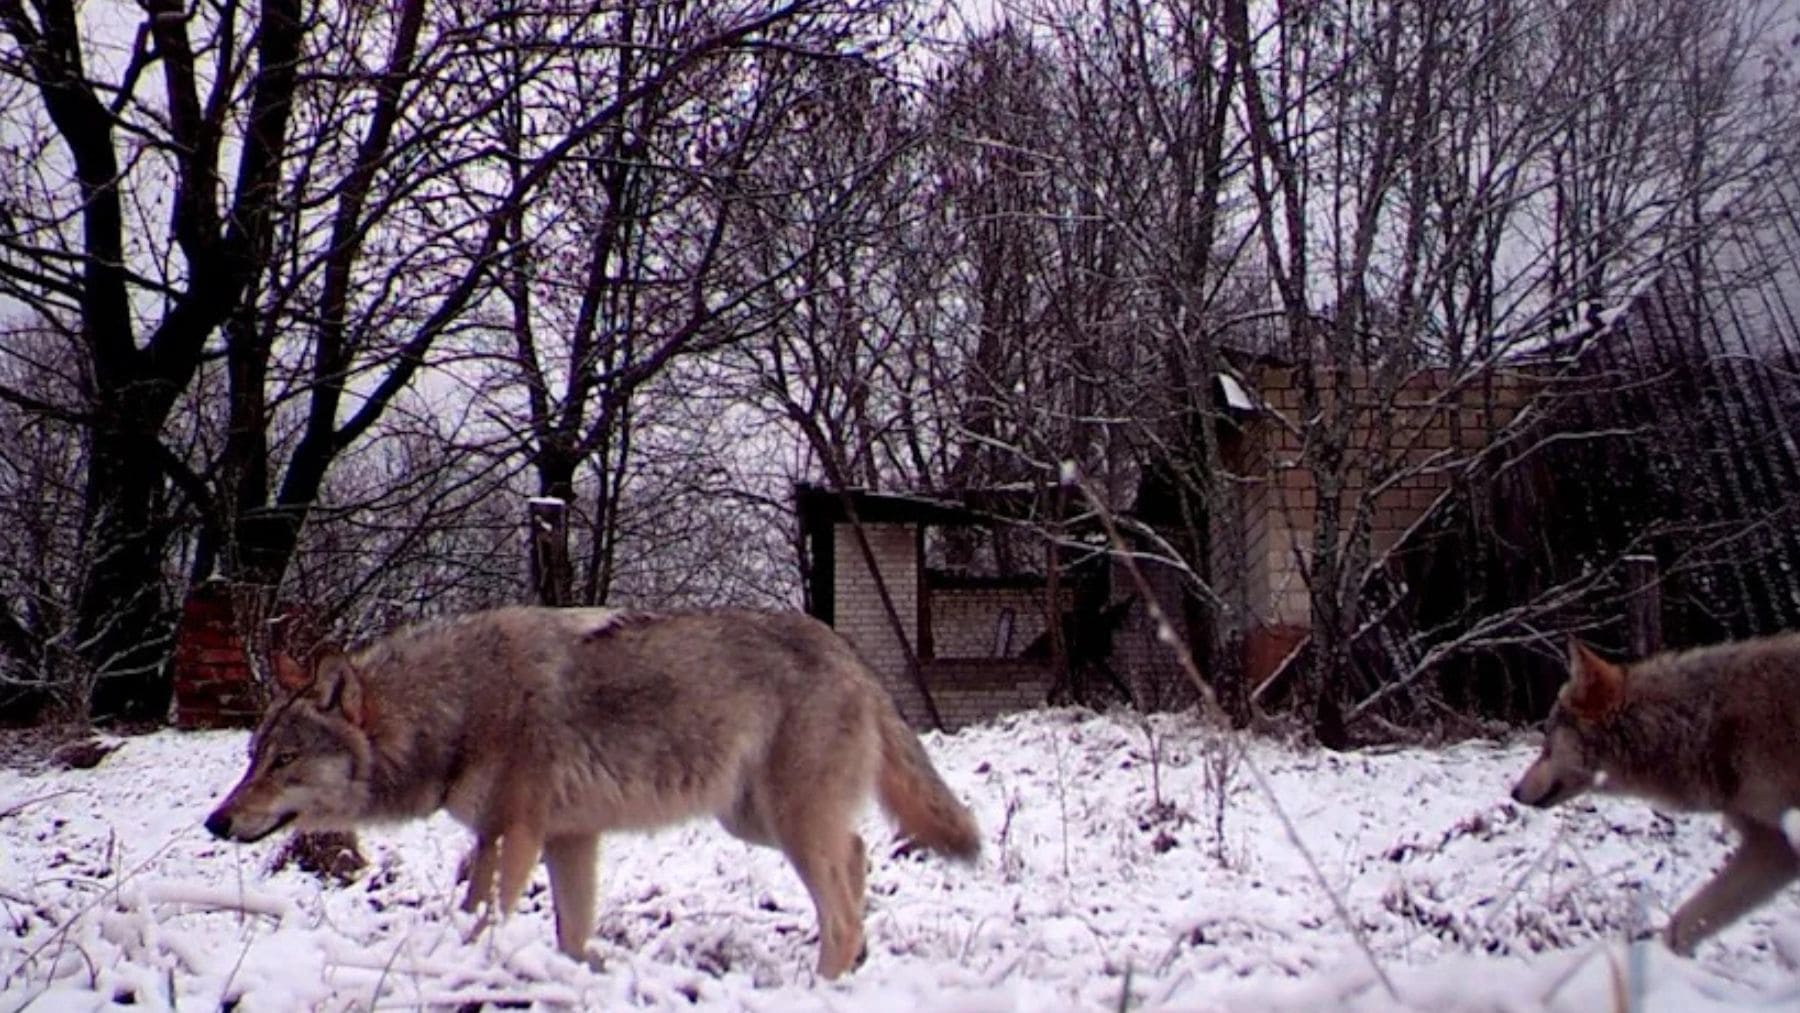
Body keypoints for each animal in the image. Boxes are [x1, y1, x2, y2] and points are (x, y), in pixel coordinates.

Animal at [205, 606, 980, 978]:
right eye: (252, 757)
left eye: (285, 760)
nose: (216, 821)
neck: (458, 705)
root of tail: (851, 652)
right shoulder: (568, 838)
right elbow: (571, 933)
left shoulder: (511, 834)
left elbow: (483, 917)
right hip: (756, 822)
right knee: (858, 855)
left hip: (785, 824)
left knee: (842, 902)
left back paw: (822, 987)